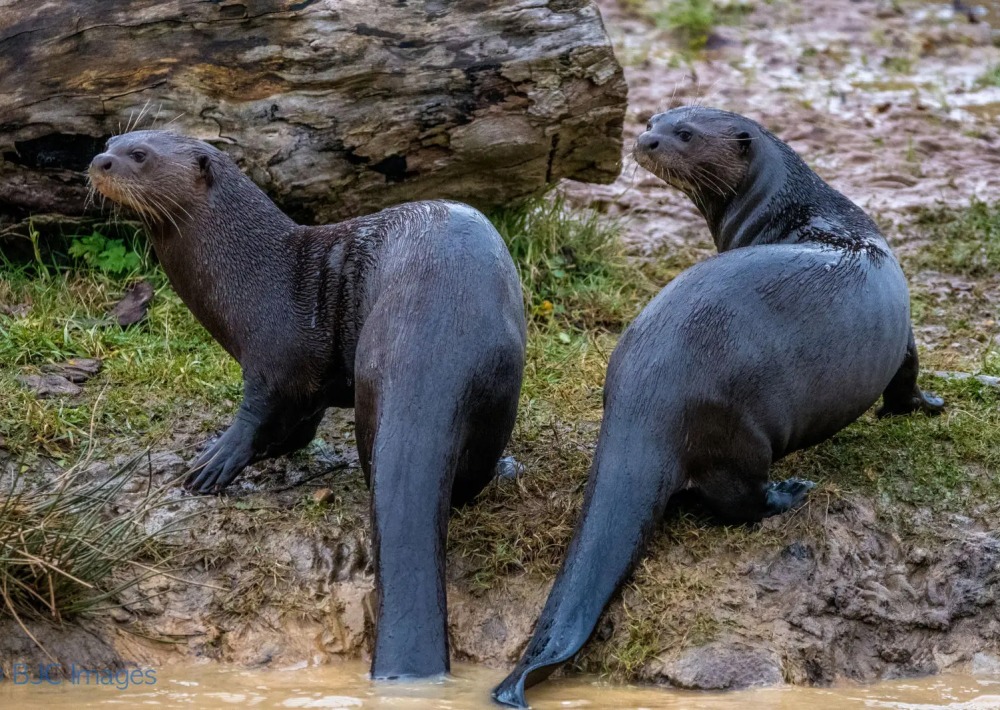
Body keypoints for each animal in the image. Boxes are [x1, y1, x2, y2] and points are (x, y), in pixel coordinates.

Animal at [88, 130, 527, 680]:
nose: (98, 161)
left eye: (139, 156)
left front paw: (214, 462)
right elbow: (300, 422)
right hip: (499, 382)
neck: (253, 273)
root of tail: (434, 341)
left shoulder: (273, 356)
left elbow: (258, 411)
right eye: (113, 140)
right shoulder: (309, 385)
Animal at [493, 106, 942, 707]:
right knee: (738, 499)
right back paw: (791, 492)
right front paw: (922, 405)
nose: (646, 140)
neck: (813, 209)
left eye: (682, 133)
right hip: (740, 431)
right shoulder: (904, 331)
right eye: (654, 120)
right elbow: (907, 370)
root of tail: (649, 393)